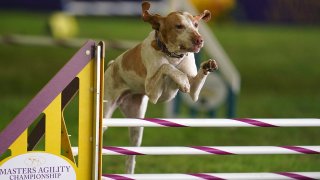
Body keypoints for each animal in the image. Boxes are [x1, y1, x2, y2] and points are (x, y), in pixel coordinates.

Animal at [104, 0, 219, 174]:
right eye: (179, 26)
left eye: (196, 25)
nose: (200, 40)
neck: (173, 56)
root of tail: (111, 65)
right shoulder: (153, 93)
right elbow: (166, 67)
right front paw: (181, 80)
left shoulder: (194, 93)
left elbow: (193, 83)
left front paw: (207, 66)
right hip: (105, 113)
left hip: (137, 126)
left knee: (130, 158)